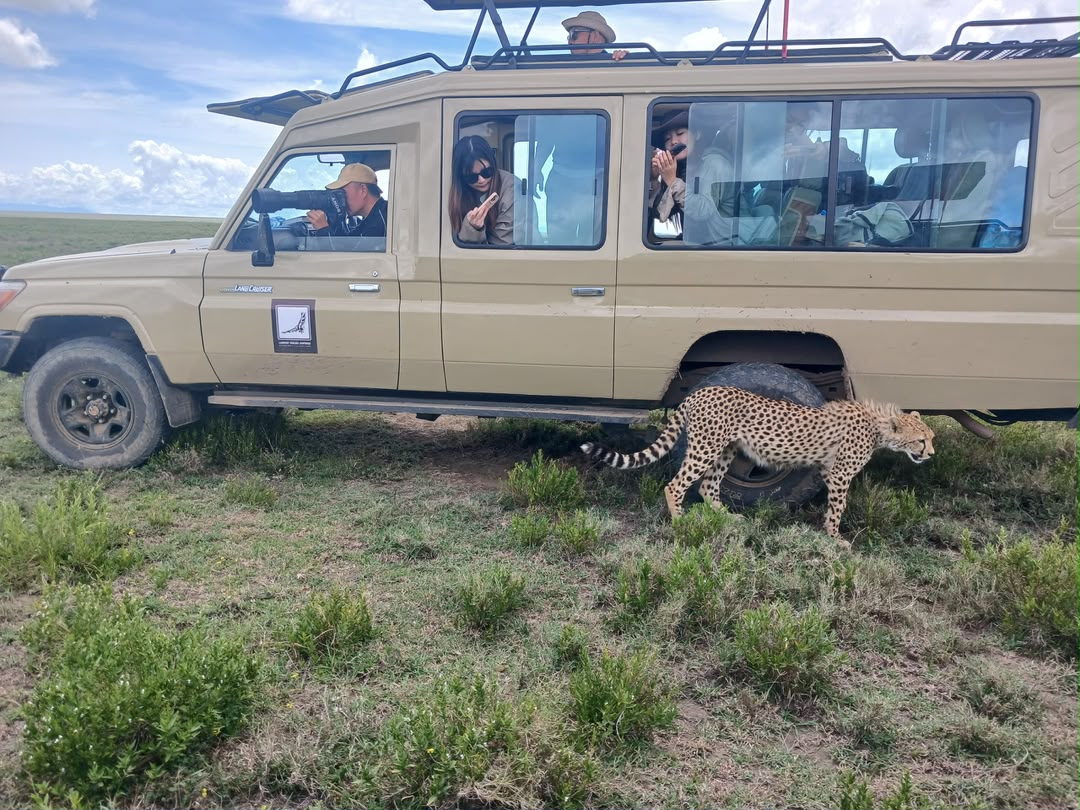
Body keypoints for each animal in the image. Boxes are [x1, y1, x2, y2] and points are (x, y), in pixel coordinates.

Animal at [581, 385, 935, 544]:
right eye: (921, 440)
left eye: (930, 437)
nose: (930, 454)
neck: (880, 426)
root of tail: (700, 392)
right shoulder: (839, 473)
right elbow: (838, 507)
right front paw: (835, 538)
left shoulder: (826, 468)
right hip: (706, 447)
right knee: (676, 484)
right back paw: (680, 521)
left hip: (726, 450)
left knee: (708, 487)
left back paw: (728, 518)